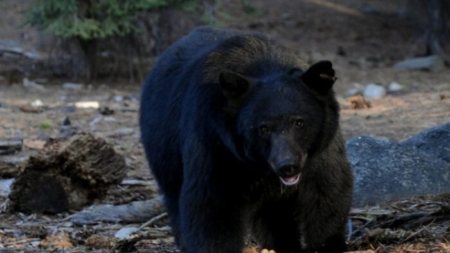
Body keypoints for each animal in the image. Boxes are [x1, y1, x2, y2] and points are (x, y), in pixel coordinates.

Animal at [139, 26, 354, 253]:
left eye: (299, 122)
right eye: (263, 128)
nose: (287, 166)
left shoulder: (321, 151)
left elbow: (327, 193)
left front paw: (328, 244)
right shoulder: (215, 142)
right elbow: (212, 205)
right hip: (165, 152)